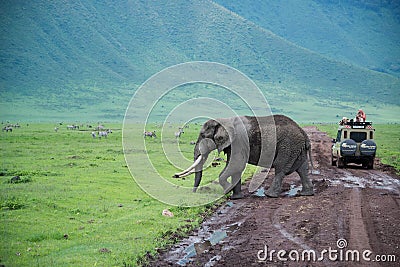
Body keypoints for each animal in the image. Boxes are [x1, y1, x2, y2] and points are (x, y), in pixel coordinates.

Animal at [173, 114, 314, 200]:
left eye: (203, 135)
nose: (193, 193)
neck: (225, 120)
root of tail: (304, 133)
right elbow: (235, 167)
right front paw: (236, 197)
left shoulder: (239, 141)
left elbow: (236, 164)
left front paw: (228, 190)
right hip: (296, 148)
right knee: (302, 169)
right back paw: (306, 194)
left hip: (288, 146)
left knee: (280, 168)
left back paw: (269, 195)